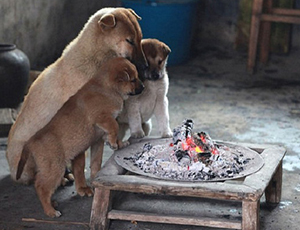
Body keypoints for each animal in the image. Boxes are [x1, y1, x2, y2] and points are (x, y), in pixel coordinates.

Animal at [15, 57, 145, 217]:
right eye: (133, 80)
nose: (144, 87)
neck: (107, 88)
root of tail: (31, 141)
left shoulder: (99, 137)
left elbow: (99, 156)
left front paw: (119, 143)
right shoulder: (102, 118)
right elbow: (114, 125)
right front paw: (115, 143)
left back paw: (52, 203)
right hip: (55, 168)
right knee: (41, 186)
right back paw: (50, 211)